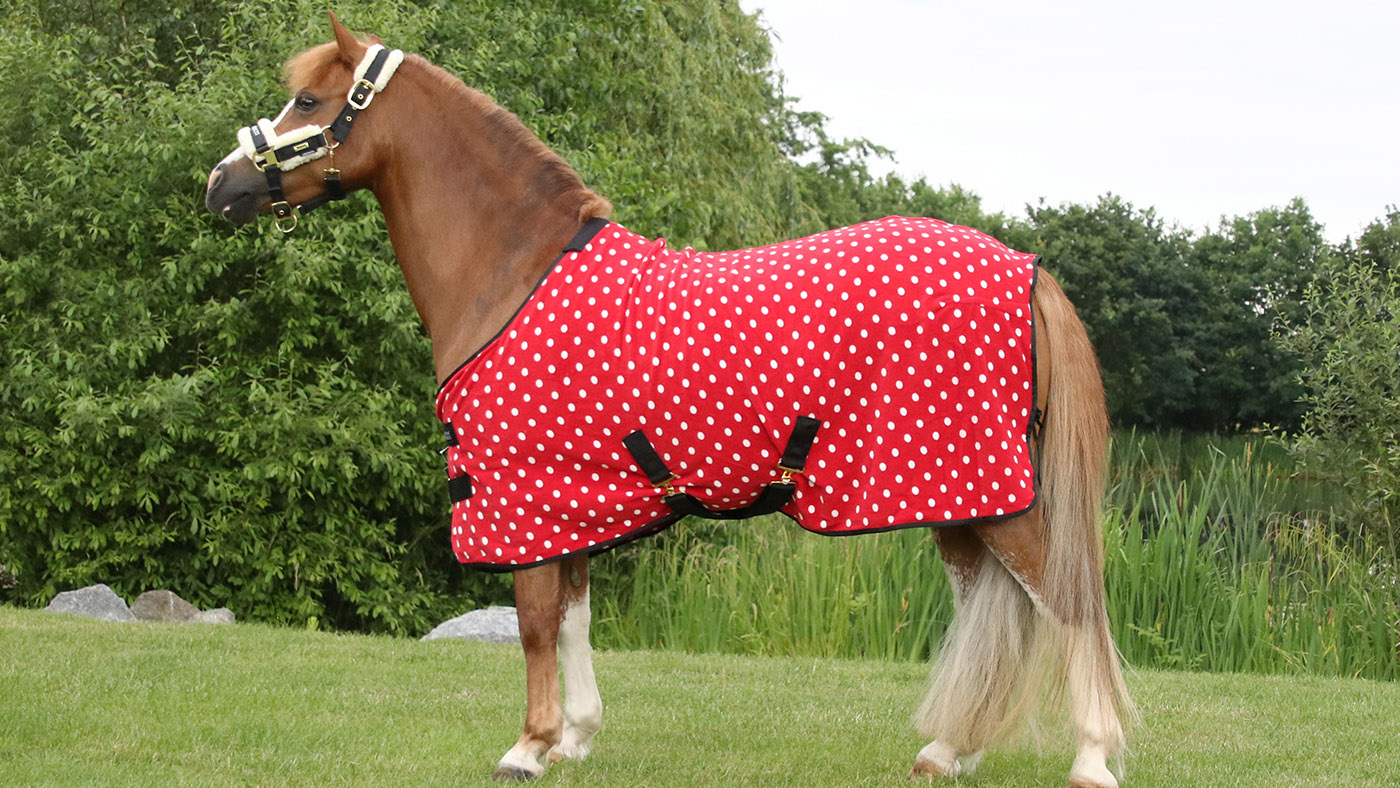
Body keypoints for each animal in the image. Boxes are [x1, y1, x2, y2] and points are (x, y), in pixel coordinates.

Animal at [204, 14, 1133, 787]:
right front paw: (573, 739)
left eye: (308, 100)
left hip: (991, 497)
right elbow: (573, 620)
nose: (219, 186)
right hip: (955, 499)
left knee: (1069, 606)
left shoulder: (520, 501)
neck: (512, 273)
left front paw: (526, 748)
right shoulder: (564, 504)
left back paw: (1093, 759)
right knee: (995, 615)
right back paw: (950, 751)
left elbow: (535, 623)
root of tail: (1026, 267)